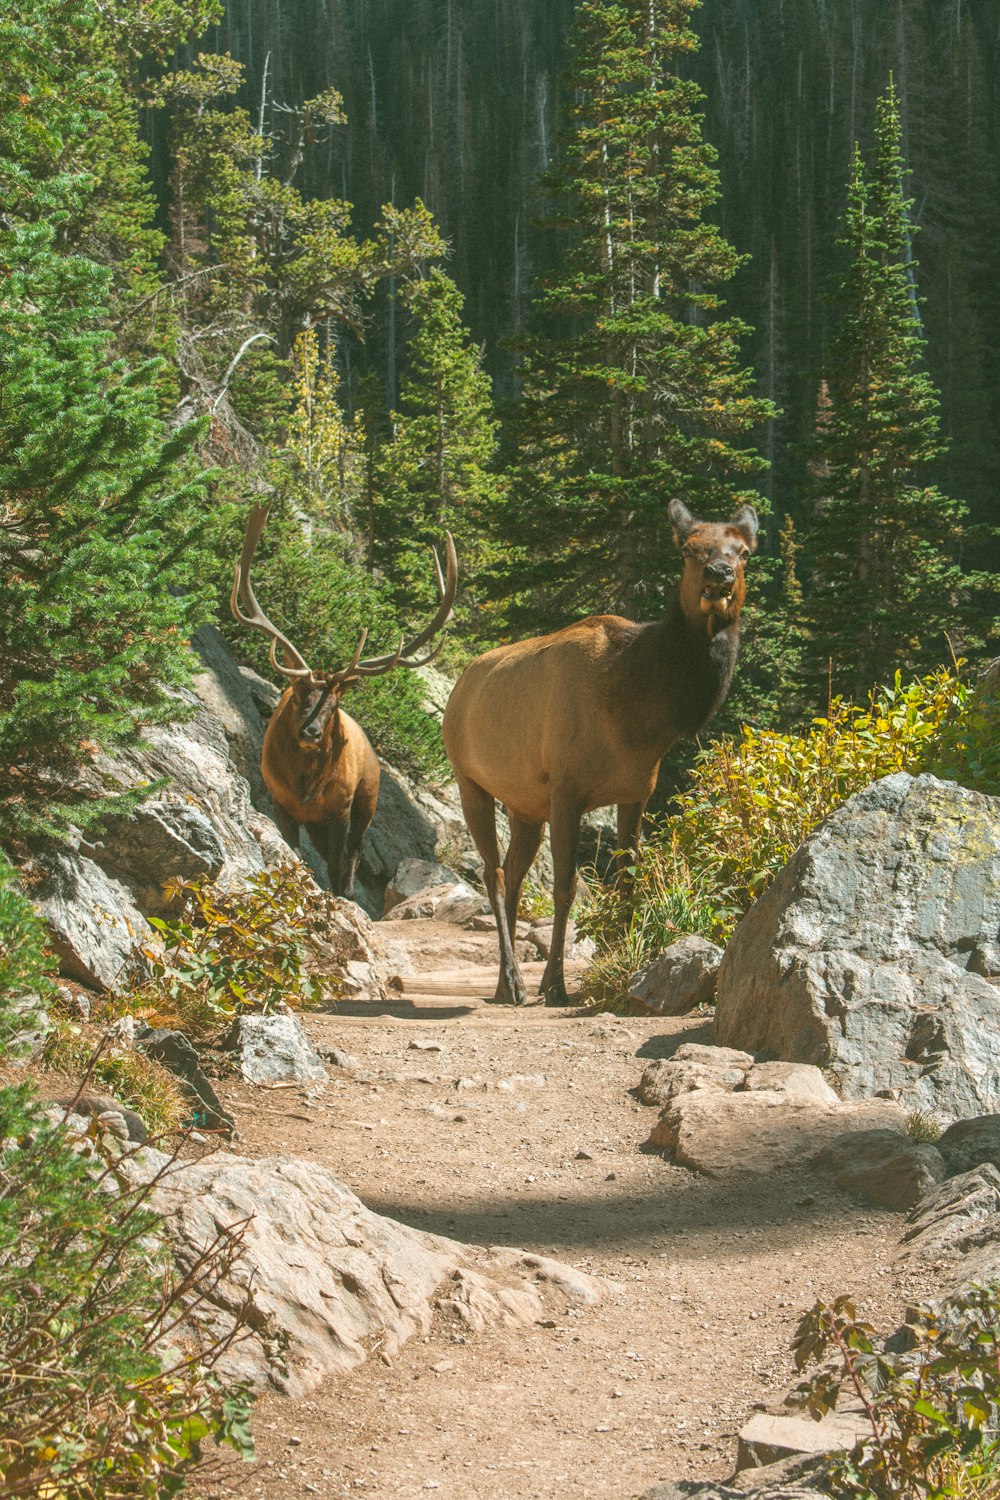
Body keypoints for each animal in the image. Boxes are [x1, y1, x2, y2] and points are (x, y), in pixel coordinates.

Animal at [230, 504, 458, 900]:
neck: (304, 788)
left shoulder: (340, 810)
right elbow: (293, 853)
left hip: (366, 801)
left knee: (354, 853)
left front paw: (338, 897)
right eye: (297, 696)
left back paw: (350, 891)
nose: (311, 732)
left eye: (333, 704)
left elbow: (339, 865)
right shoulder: (279, 802)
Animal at [440, 504, 755, 1008]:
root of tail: (460, 684)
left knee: (514, 875)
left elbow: (627, 884)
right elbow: (566, 887)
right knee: (493, 873)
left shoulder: (637, 792)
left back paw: (504, 983)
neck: (638, 715)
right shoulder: (566, 791)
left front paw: (624, 966)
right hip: (470, 780)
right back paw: (513, 981)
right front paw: (555, 984)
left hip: (526, 806)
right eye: (689, 549)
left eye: (742, 551)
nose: (719, 574)